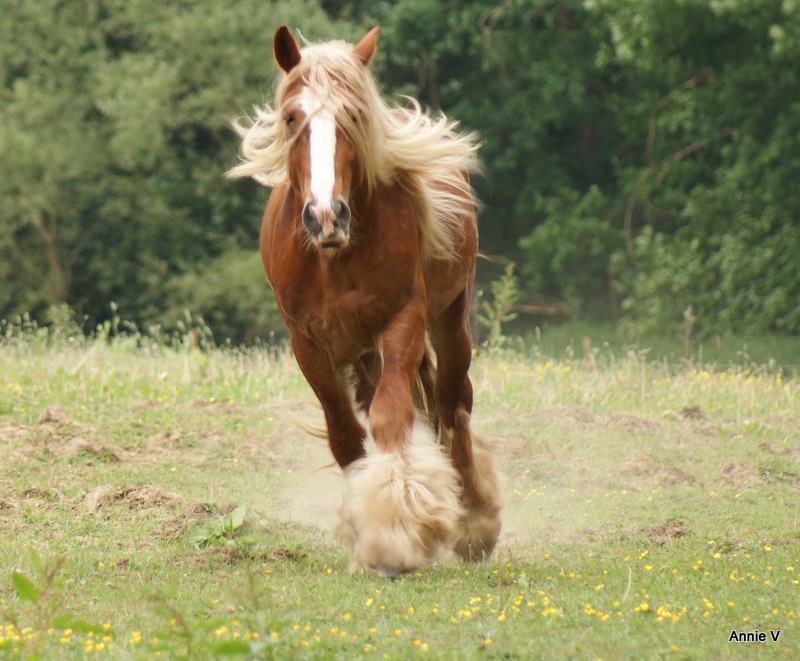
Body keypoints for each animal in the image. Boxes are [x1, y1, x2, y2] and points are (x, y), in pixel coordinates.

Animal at [228, 25, 500, 572]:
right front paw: (366, 530)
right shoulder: (307, 343)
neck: (333, 258)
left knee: (452, 404)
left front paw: (396, 533)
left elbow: (392, 419)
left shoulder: (402, 323)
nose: (325, 216)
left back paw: (473, 520)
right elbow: (345, 436)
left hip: (449, 320)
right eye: (291, 117)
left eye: (353, 115)